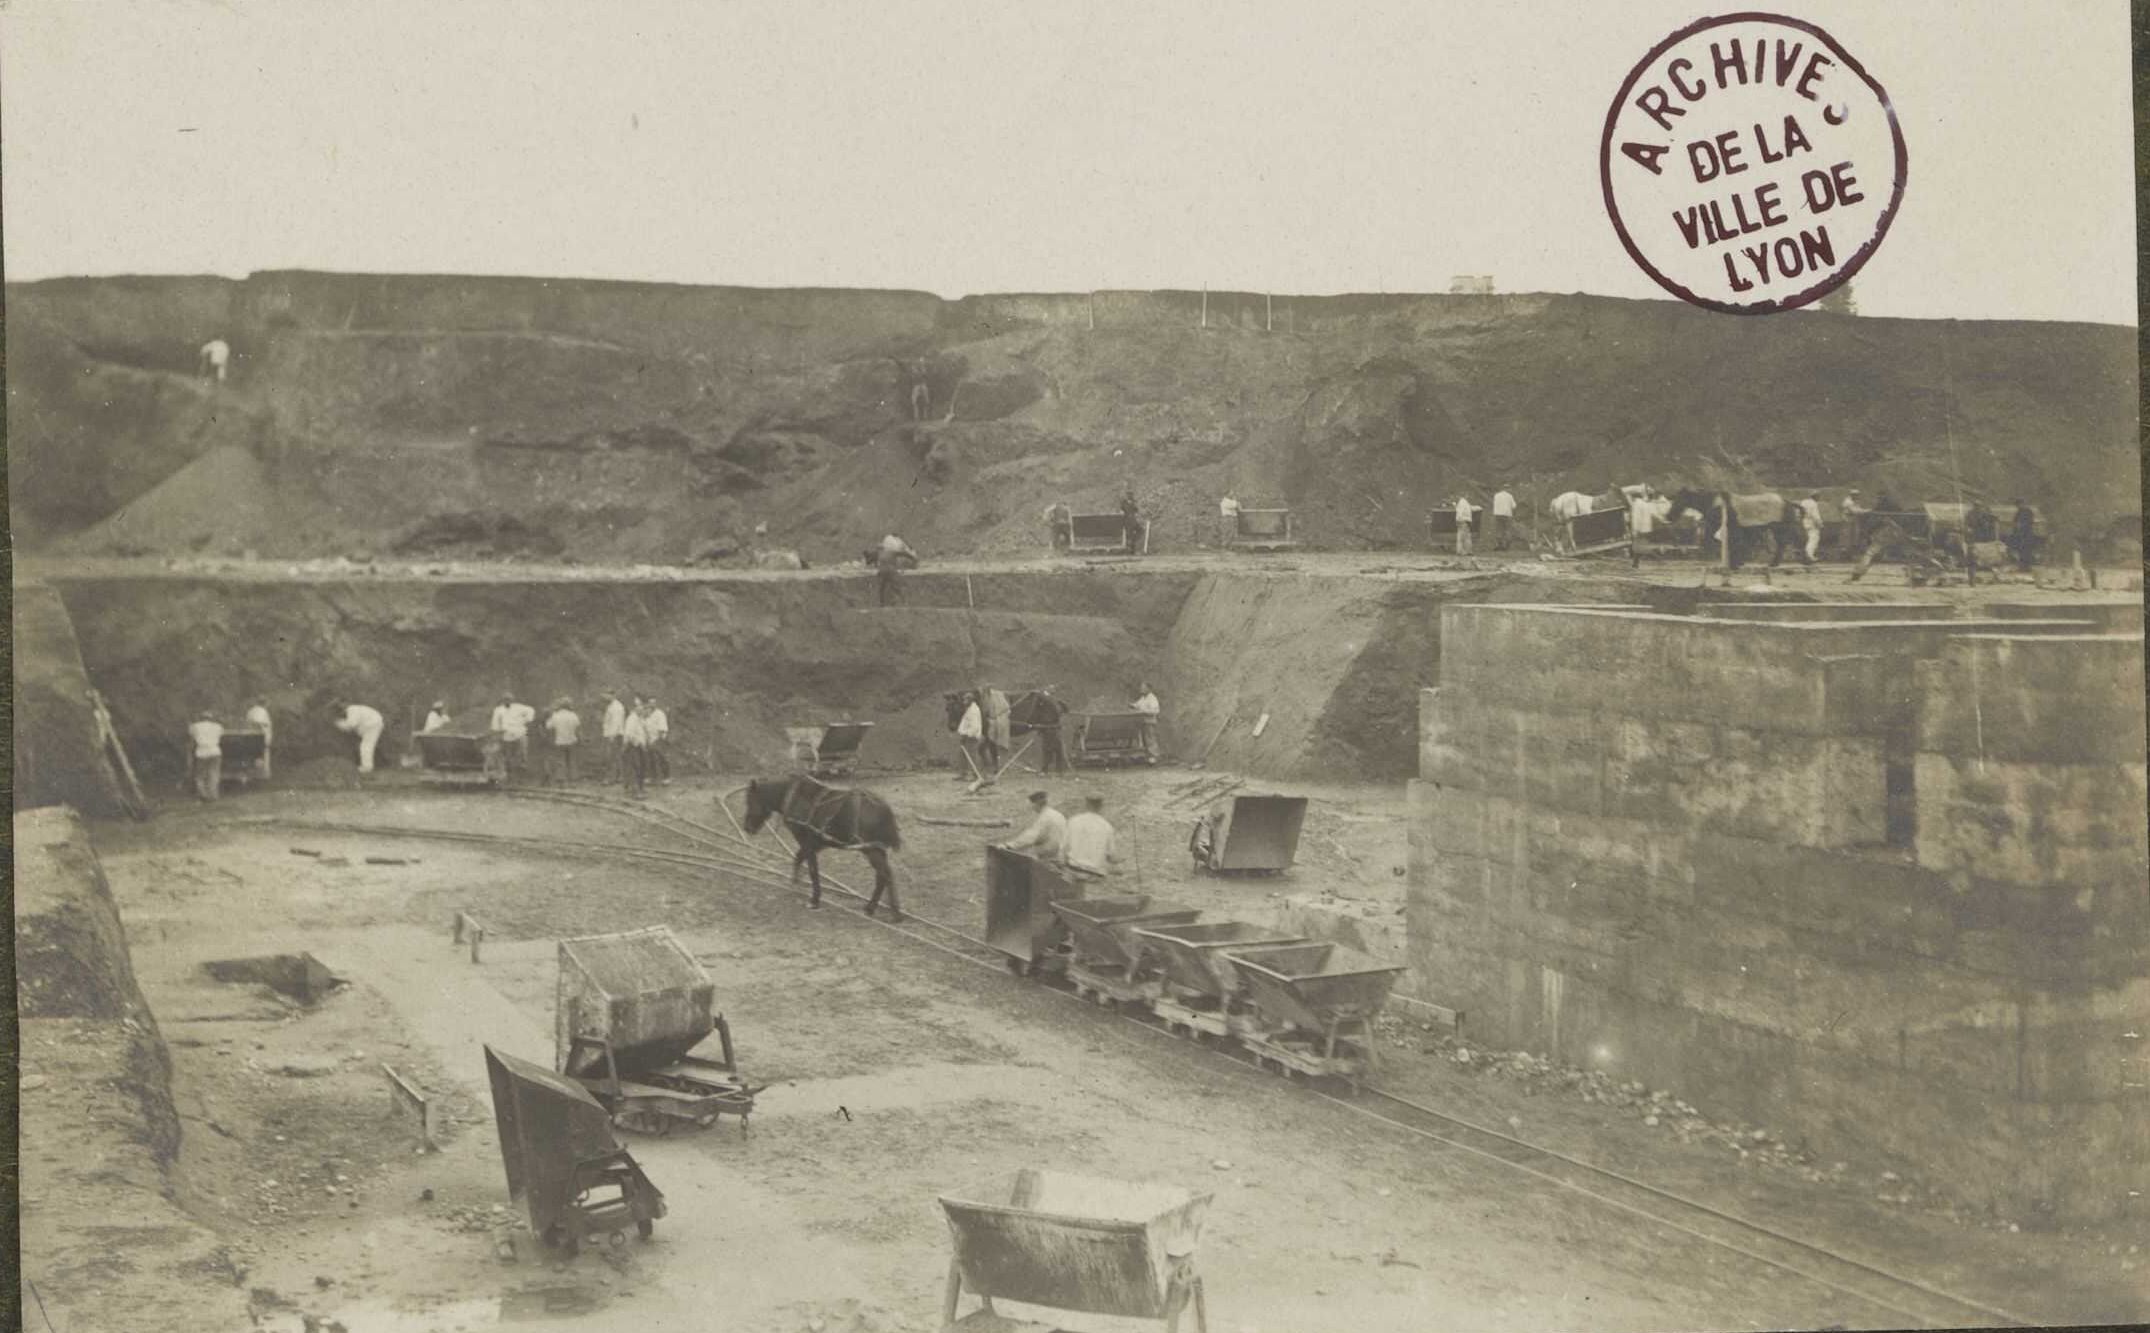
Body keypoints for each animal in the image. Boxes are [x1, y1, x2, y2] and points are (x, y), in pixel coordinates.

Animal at [743, 774, 903, 920]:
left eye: (750, 801)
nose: (746, 828)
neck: (793, 797)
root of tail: (884, 809)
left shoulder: (807, 842)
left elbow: (812, 870)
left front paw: (814, 900)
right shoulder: (816, 844)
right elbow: (799, 859)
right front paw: (796, 883)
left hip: (871, 850)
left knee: (884, 875)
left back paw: (884, 911)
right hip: (876, 850)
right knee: (884, 875)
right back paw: (883, 910)